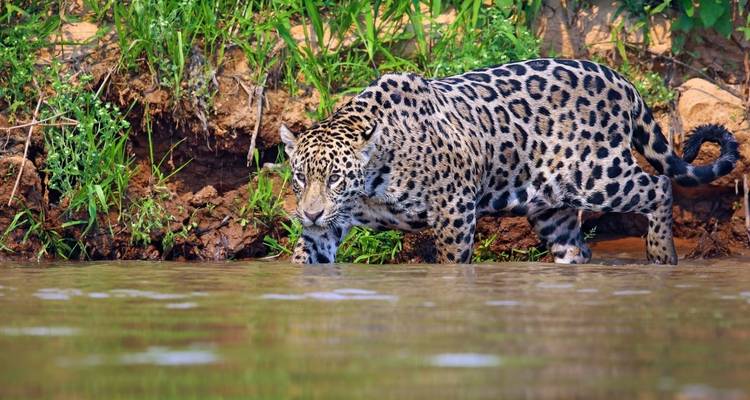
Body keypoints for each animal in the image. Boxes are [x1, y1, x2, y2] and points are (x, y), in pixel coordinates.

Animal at [279, 58, 739, 265]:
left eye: (335, 179)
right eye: (300, 178)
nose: (310, 212)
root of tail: (618, 77)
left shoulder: (453, 208)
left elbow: (452, 262)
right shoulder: (328, 227)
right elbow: (307, 256)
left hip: (599, 174)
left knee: (657, 186)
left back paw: (662, 255)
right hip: (553, 203)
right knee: (575, 246)